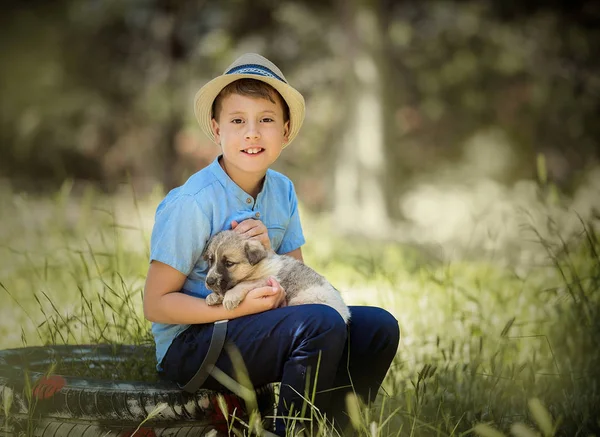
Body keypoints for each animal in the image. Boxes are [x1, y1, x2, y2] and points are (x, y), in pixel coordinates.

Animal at [204, 230, 352, 322]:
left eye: (229, 263)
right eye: (211, 260)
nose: (209, 281)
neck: (256, 267)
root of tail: (345, 316)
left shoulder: (268, 279)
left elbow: (244, 283)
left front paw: (230, 297)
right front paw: (214, 297)